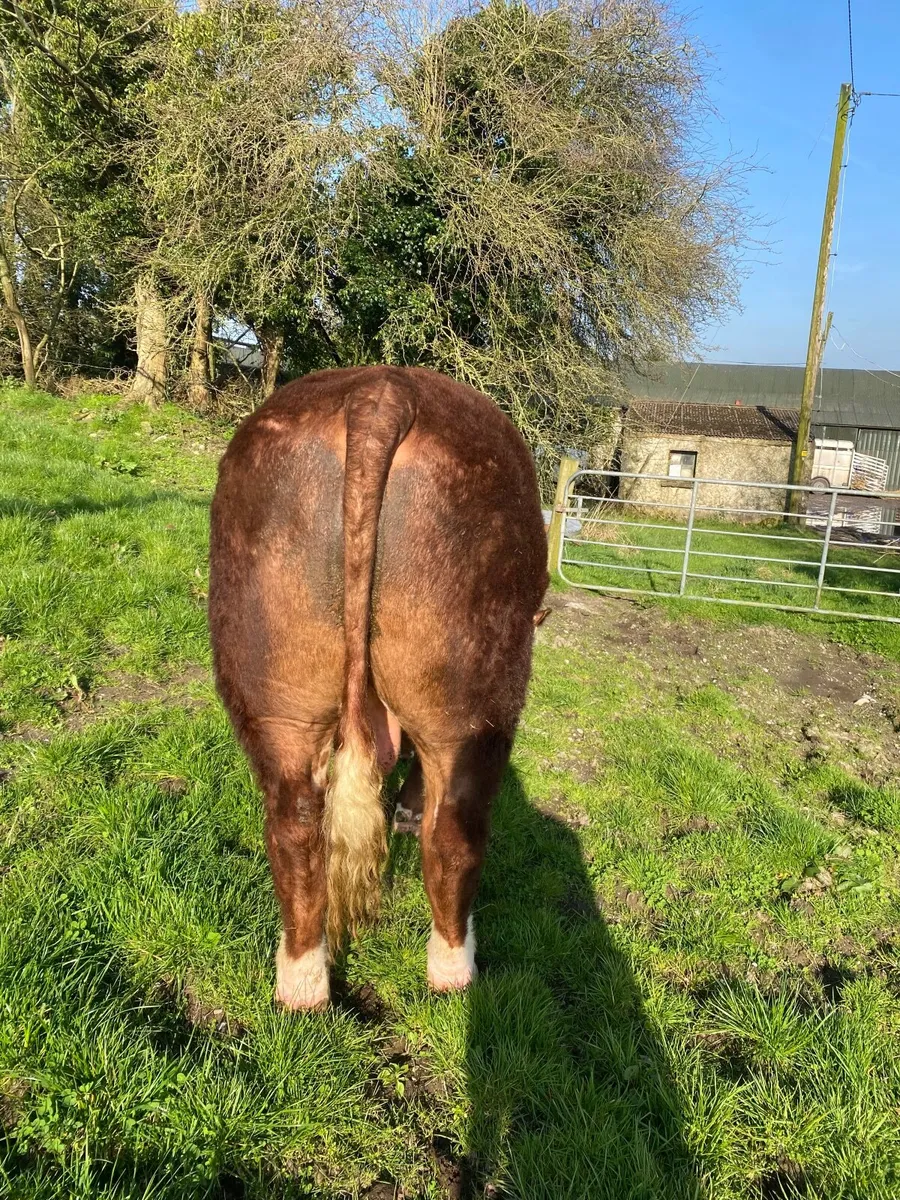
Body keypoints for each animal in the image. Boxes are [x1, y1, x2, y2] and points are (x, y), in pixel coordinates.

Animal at [208, 365, 548, 1009]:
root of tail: (382, 392)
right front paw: (408, 811)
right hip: (474, 700)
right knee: (454, 831)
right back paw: (455, 966)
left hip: (276, 689)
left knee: (294, 824)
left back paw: (302, 983)